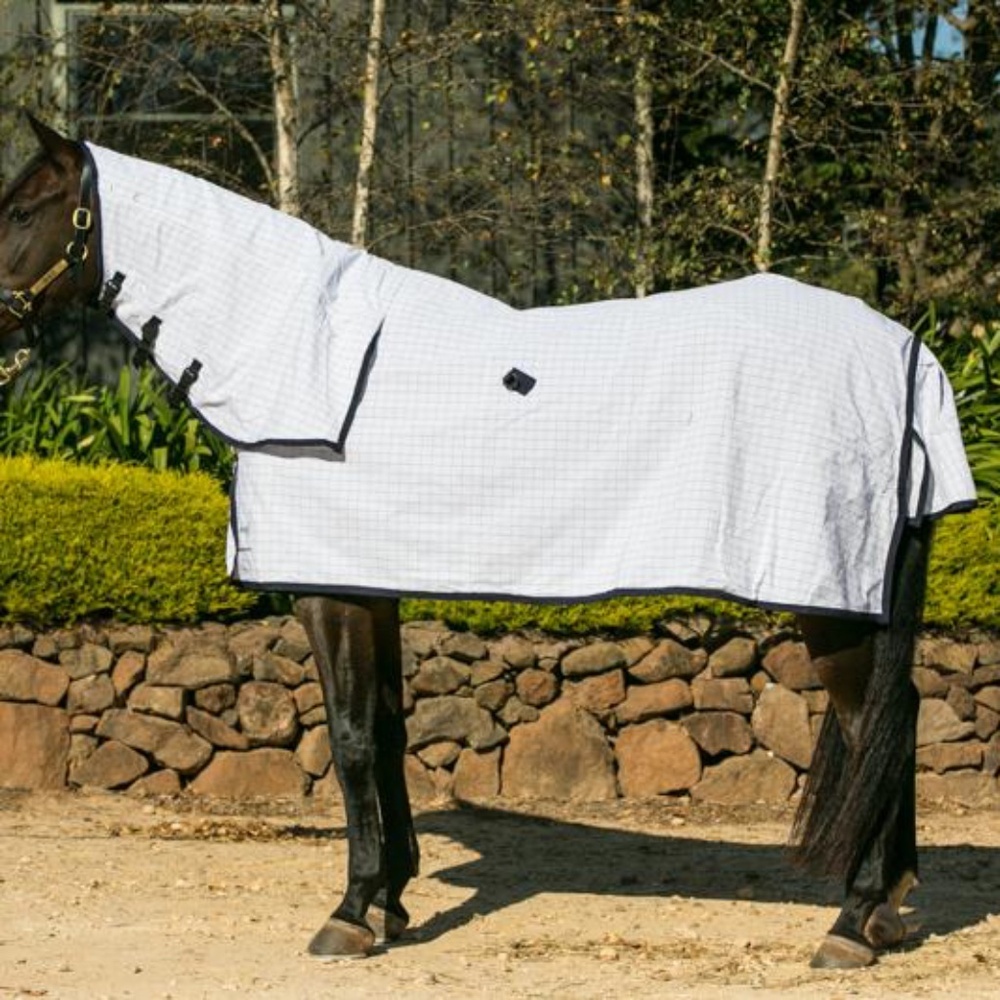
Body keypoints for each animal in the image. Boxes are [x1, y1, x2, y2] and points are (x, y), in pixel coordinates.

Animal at [0, 115, 976, 969]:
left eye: (20, 210)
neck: (305, 365)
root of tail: (908, 350)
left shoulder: (331, 590)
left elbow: (351, 737)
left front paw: (350, 912)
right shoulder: (372, 583)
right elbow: (387, 729)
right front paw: (390, 899)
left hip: (831, 599)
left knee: (875, 720)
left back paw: (852, 922)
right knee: (897, 717)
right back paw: (887, 909)